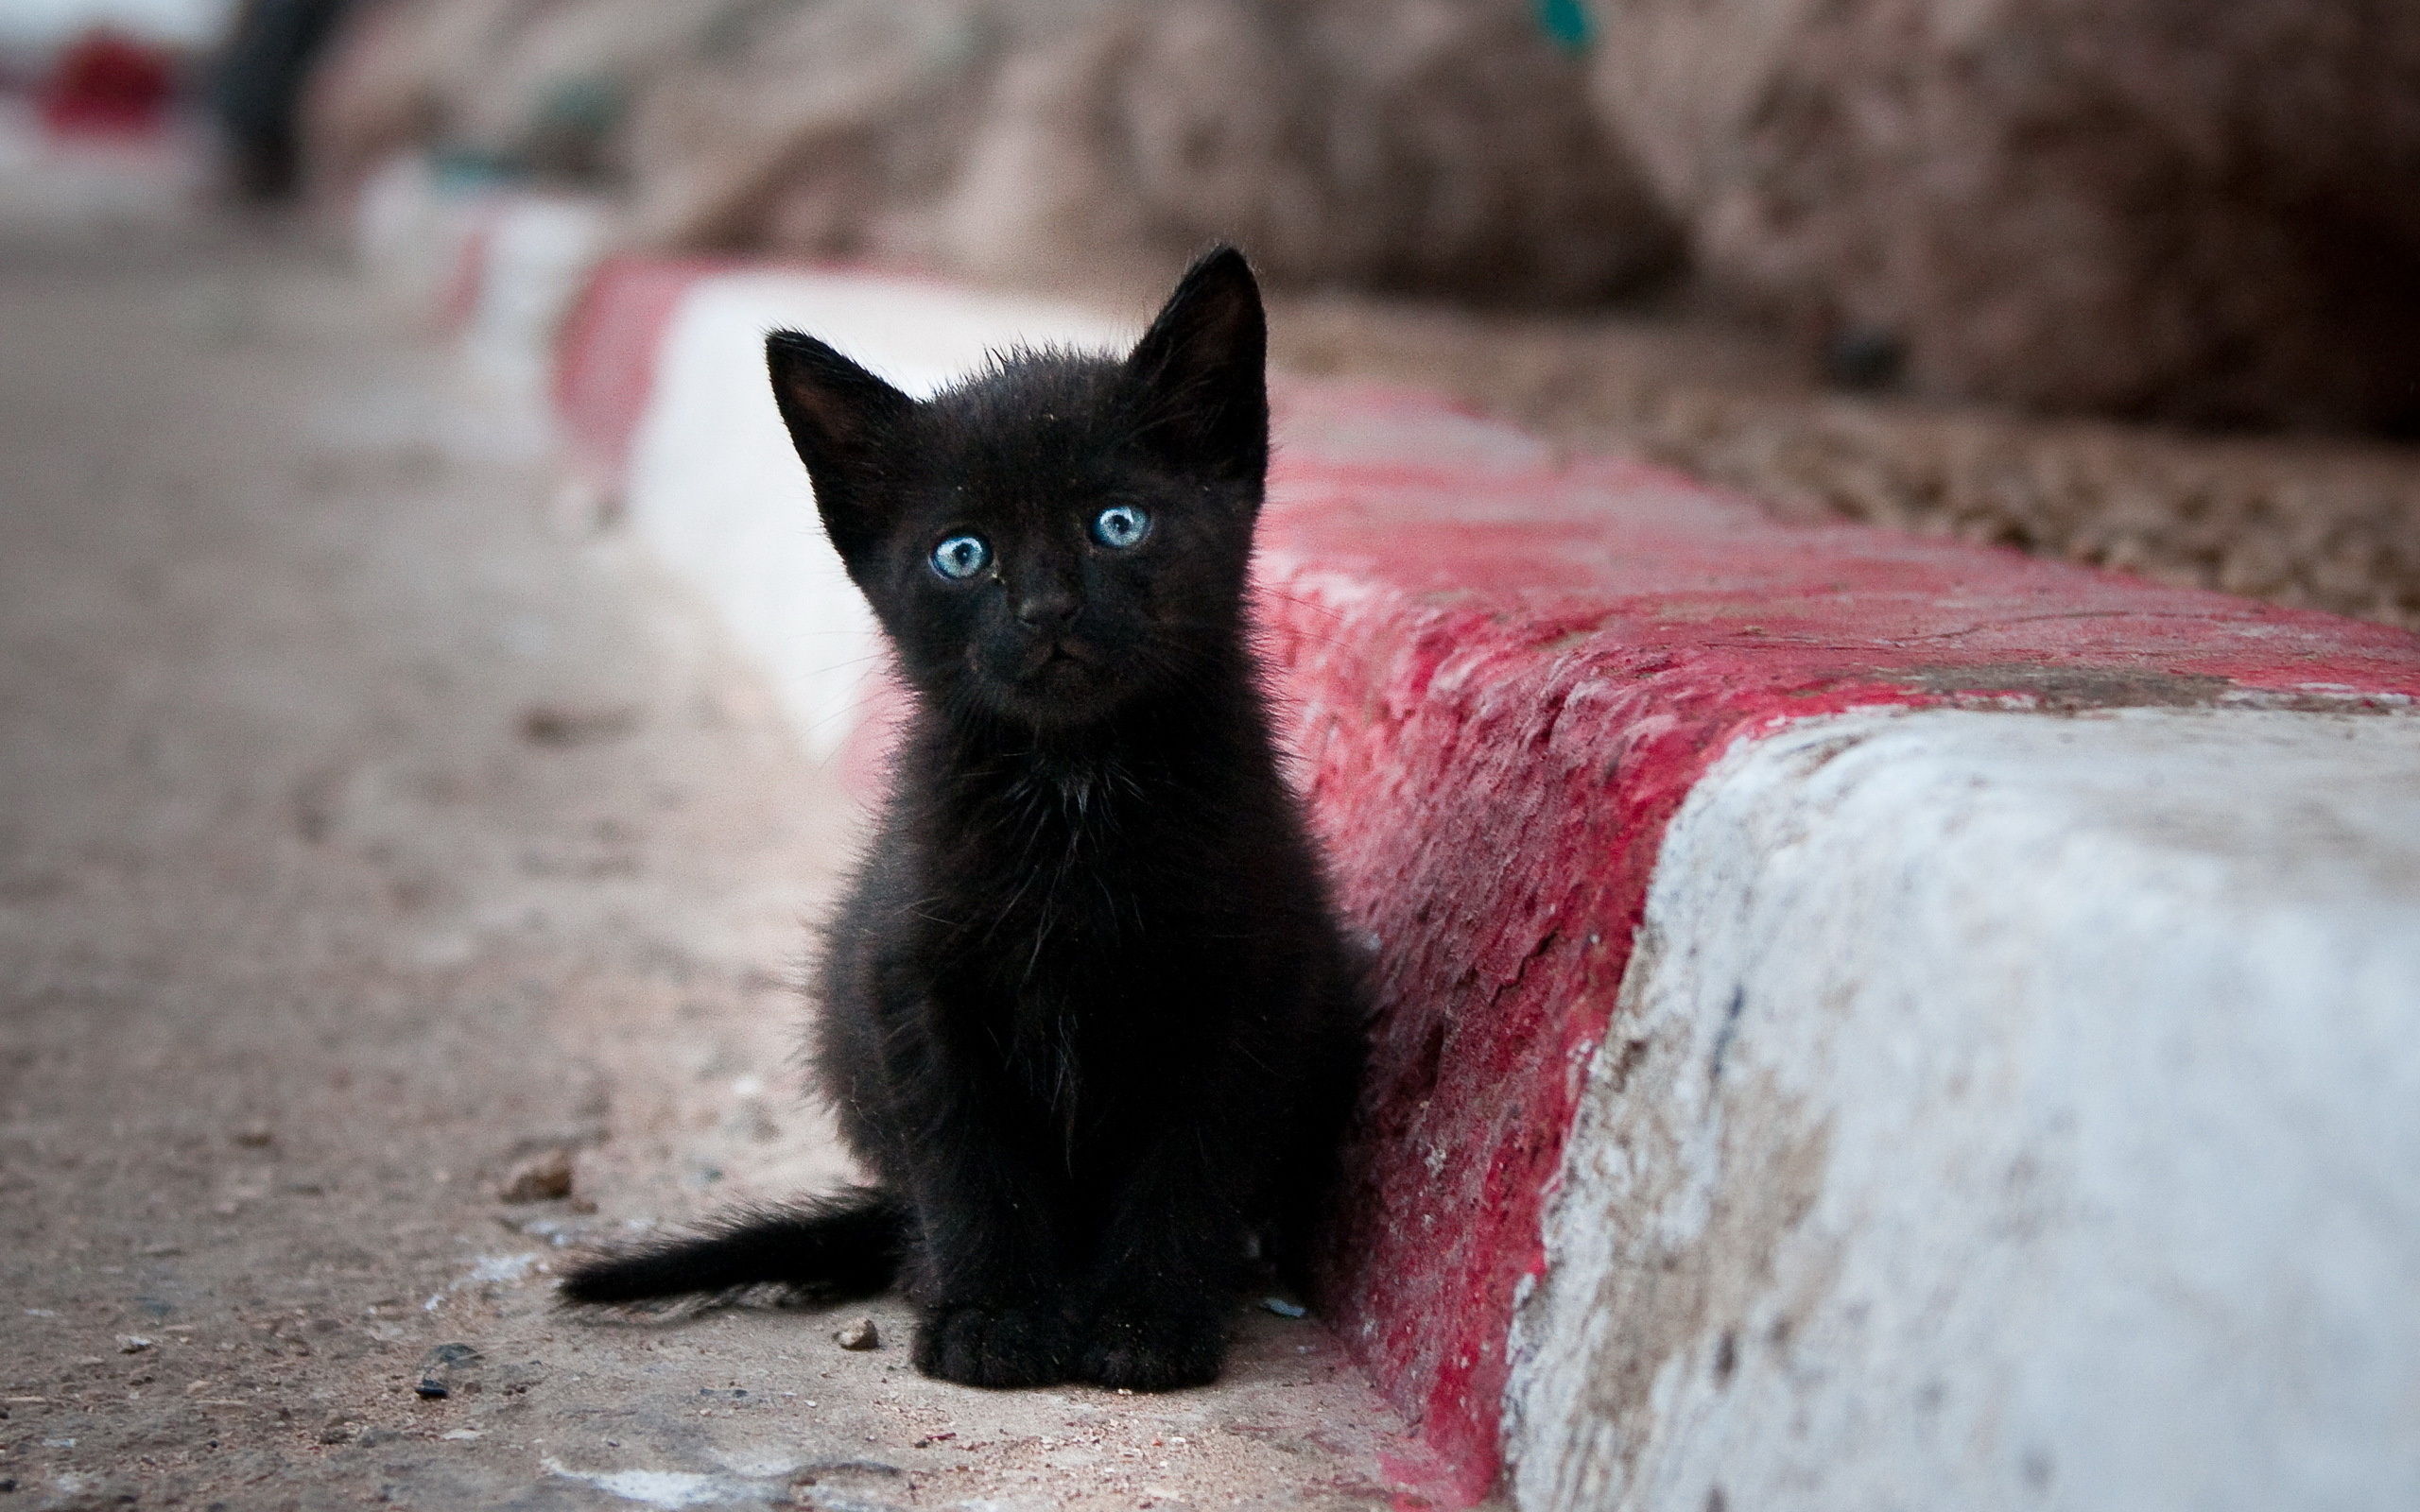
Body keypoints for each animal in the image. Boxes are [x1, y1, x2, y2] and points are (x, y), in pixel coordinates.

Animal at [556, 248, 1374, 1393]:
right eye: (962, 553)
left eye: (1117, 524)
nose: (1045, 610)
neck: (1077, 782)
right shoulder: (911, 979)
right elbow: (966, 1159)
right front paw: (989, 1316)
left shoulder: (1250, 982)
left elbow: (1189, 1160)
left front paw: (1145, 1322)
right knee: (916, 1201)